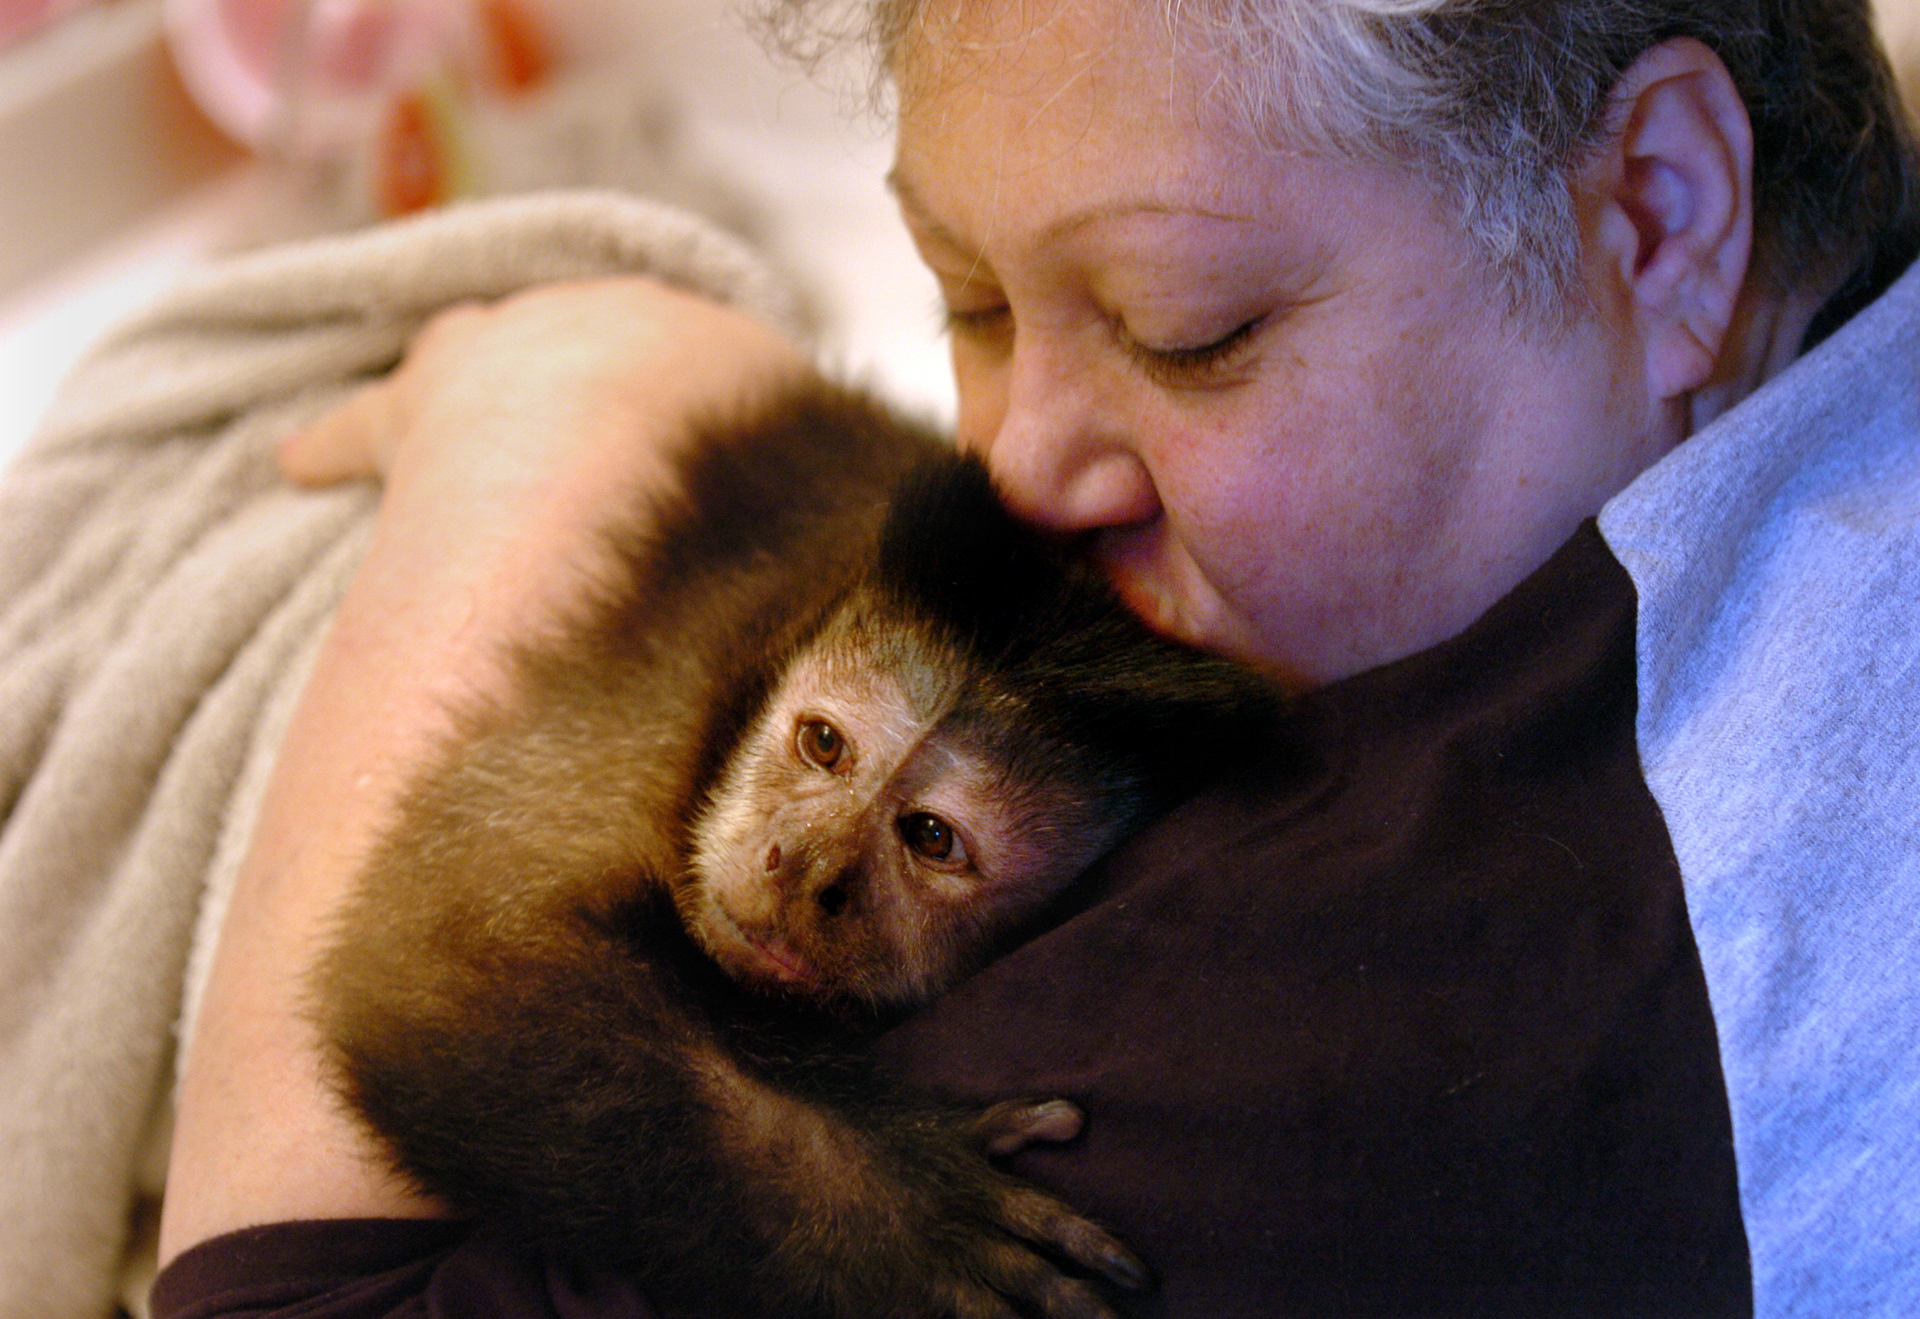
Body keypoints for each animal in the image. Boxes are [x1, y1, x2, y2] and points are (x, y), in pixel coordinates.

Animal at [311, 379, 1281, 1319]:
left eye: (931, 837)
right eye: (823, 744)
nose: (801, 869)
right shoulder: (684, 687)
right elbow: (435, 952)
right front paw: (884, 1211)